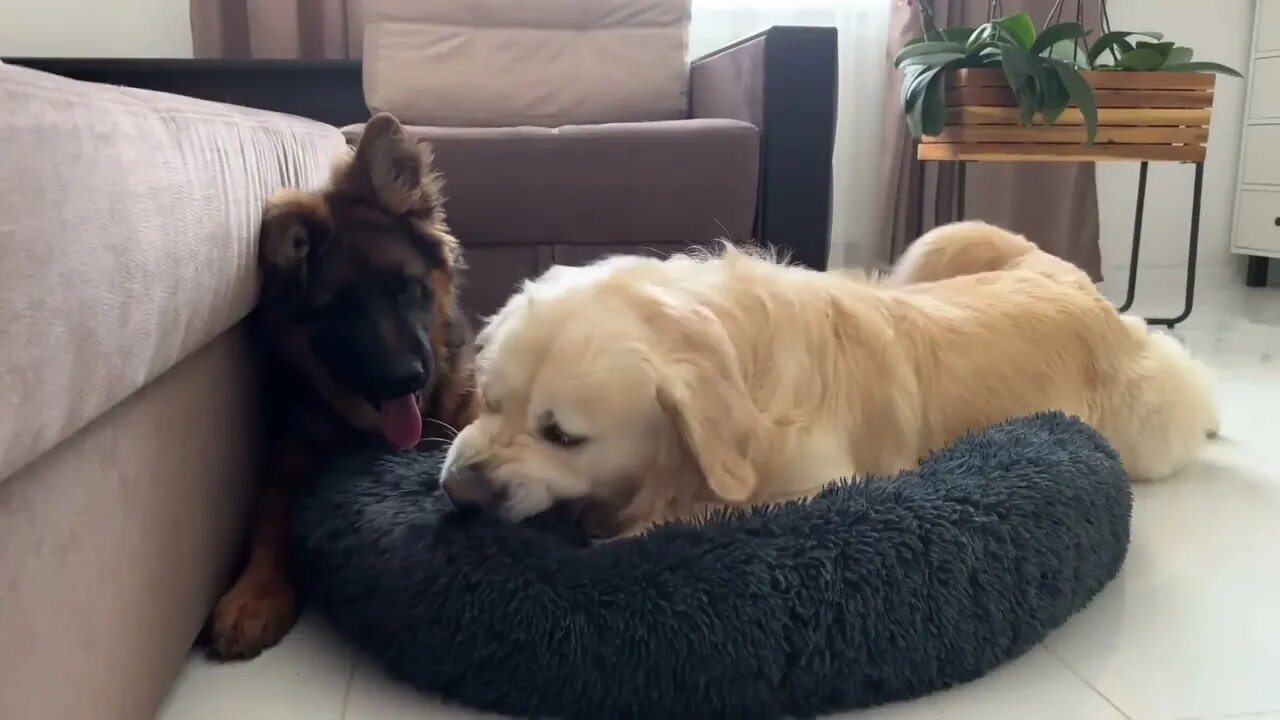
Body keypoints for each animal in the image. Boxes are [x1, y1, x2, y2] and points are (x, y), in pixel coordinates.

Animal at [207, 112, 478, 655]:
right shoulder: (289, 459)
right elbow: (269, 523)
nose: (407, 377)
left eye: (406, 288)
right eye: (340, 309)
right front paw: (254, 595)